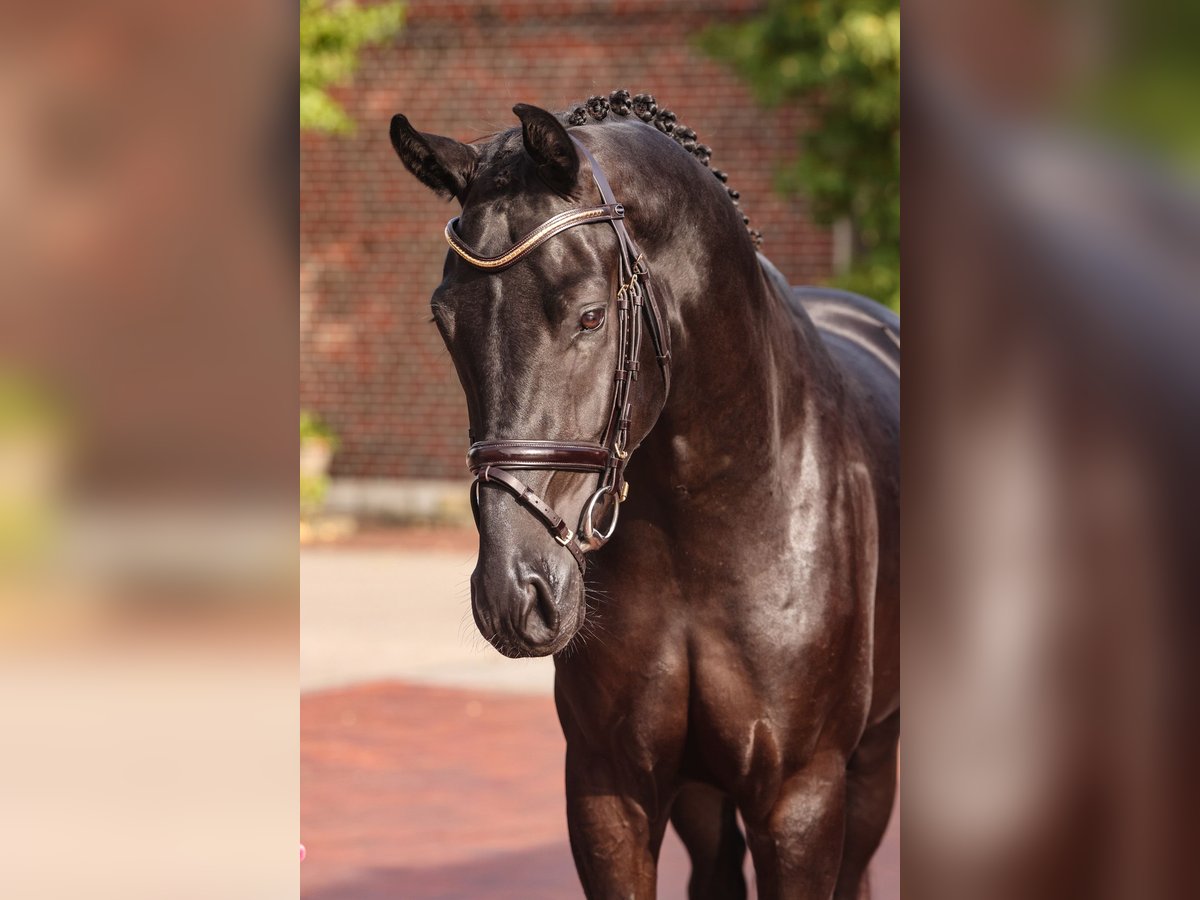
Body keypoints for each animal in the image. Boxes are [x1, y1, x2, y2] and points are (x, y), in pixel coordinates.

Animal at [393, 91, 902, 900]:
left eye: (591, 315)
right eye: (445, 321)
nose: (515, 592)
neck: (711, 516)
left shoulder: (802, 796)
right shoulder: (611, 786)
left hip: (872, 764)